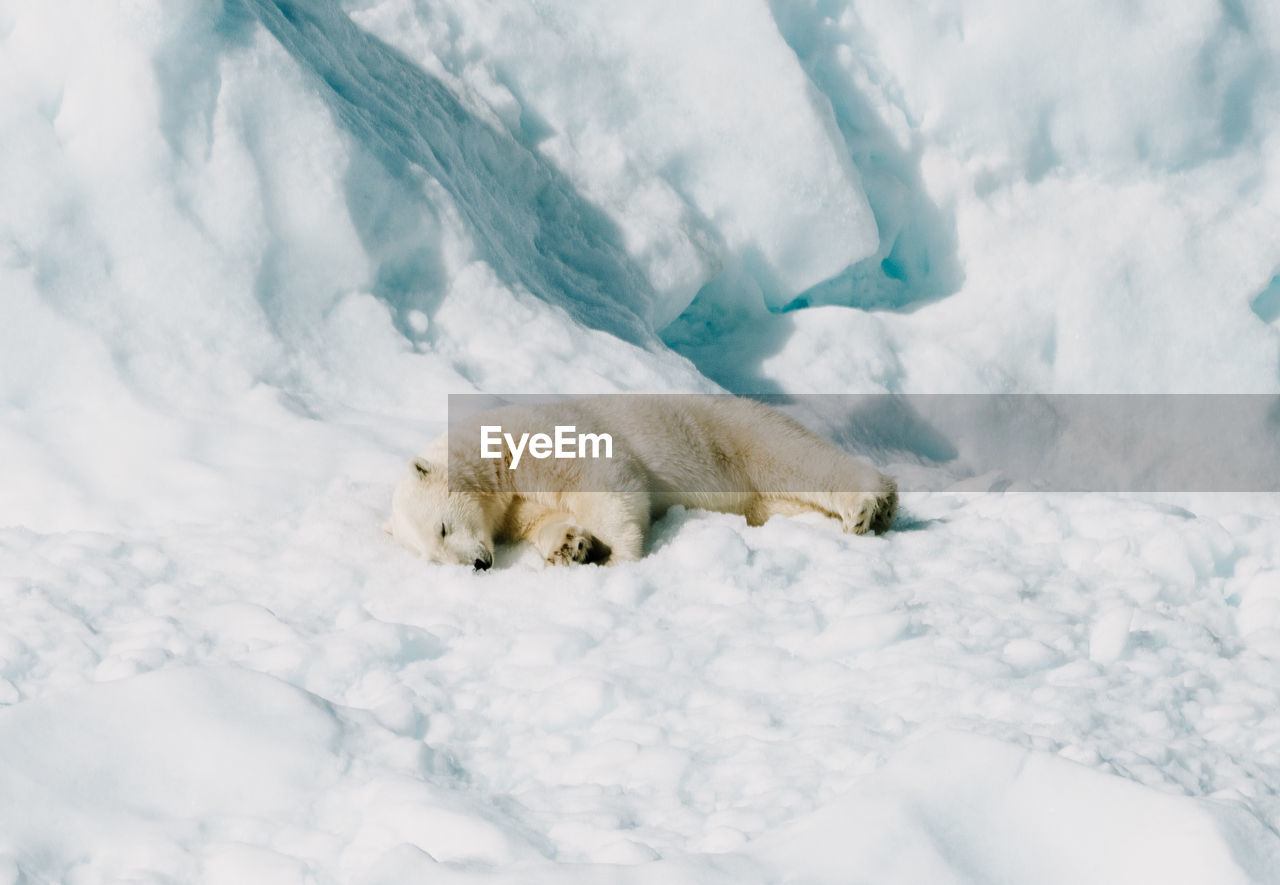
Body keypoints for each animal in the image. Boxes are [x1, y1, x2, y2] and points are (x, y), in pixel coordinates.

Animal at [384, 394, 896, 568]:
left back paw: (870, 505)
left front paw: (615, 555)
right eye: (435, 556)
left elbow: (603, 474)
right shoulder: (510, 509)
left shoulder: (538, 437)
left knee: (792, 456)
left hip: (728, 430)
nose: (479, 564)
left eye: (443, 528)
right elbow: (542, 519)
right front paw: (571, 547)